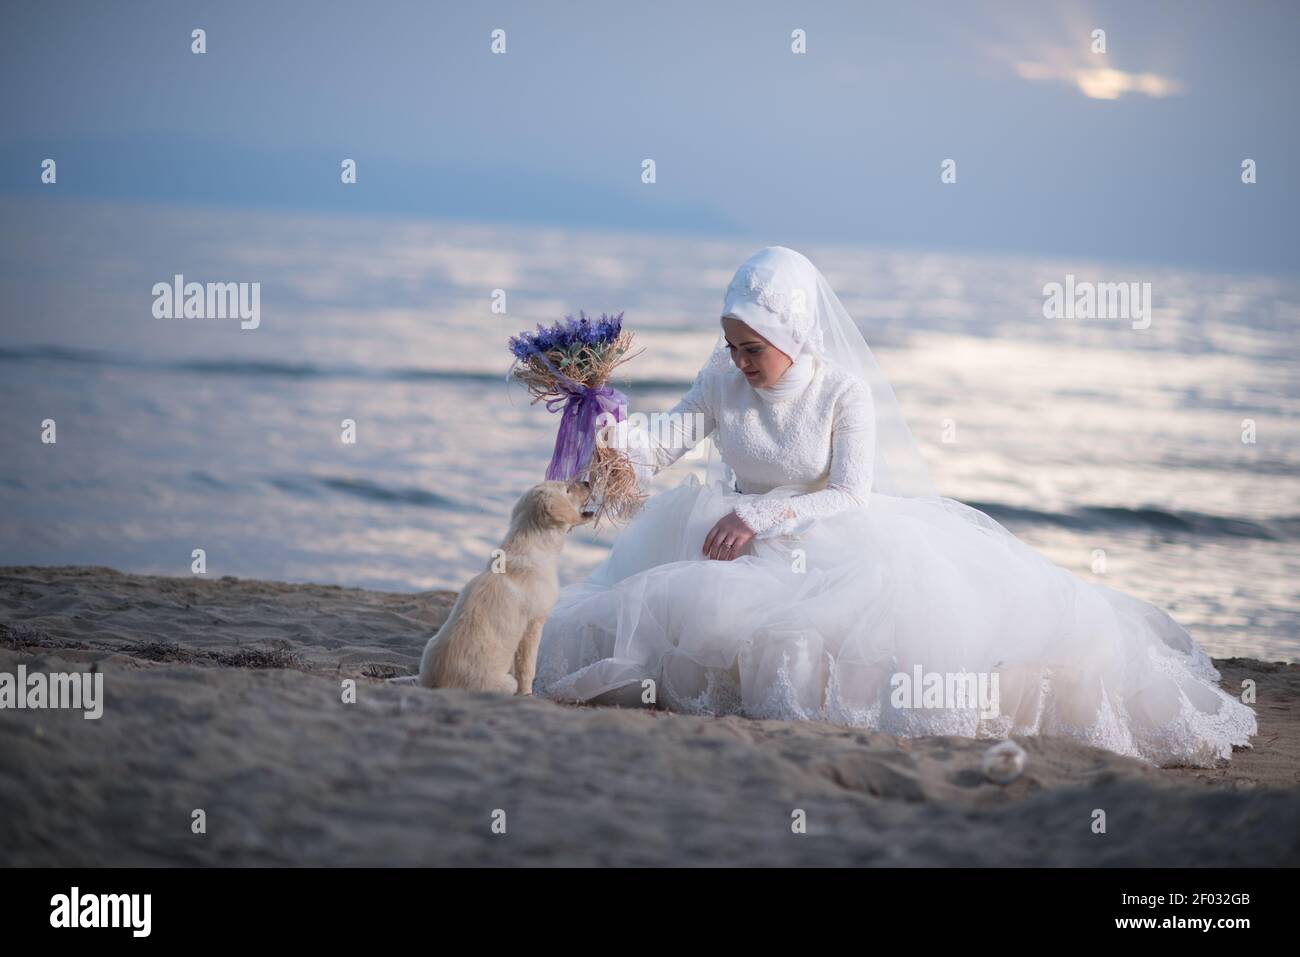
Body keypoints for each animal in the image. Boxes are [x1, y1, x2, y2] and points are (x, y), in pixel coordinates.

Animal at [413, 478, 592, 696]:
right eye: (567, 489)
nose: (588, 482)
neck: (533, 542)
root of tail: (441, 687)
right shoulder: (533, 625)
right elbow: (527, 668)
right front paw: (527, 694)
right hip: (504, 682)